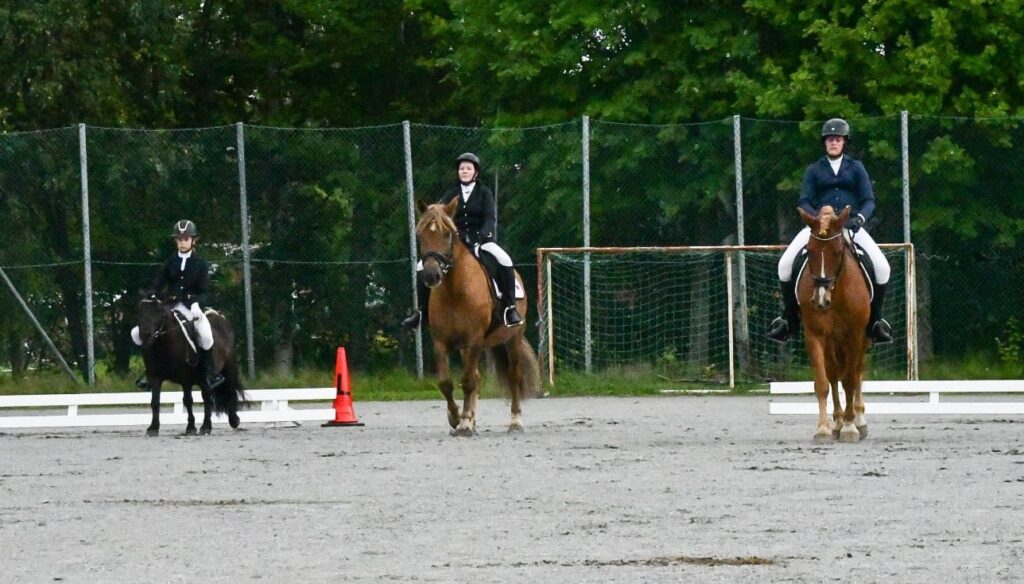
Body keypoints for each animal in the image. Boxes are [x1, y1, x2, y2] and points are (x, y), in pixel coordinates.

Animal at [135, 293, 244, 434]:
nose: (145, 336)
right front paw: (153, 428)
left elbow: (187, 400)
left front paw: (191, 427)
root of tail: (218, 315)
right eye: (140, 313)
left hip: (225, 369)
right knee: (209, 396)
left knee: (221, 393)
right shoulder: (155, 377)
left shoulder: (185, 378)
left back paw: (217, 424)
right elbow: (155, 402)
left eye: (159, 313)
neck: (164, 345)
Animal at [415, 198, 544, 432]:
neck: (454, 290)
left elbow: (467, 381)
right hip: (467, 347)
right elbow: (446, 383)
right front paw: (456, 418)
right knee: (475, 376)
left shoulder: (474, 339)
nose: (431, 275)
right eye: (421, 235)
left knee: (513, 375)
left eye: (447, 234)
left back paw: (515, 421)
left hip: (513, 337)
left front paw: (464, 422)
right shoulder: (441, 342)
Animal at [798, 204, 872, 440]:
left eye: (837, 252)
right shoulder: (814, 334)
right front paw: (823, 429)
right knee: (832, 375)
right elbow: (822, 383)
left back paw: (859, 420)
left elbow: (850, 380)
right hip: (832, 343)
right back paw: (838, 422)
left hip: (863, 340)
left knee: (857, 372)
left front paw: (850, 427)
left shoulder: (855, 336)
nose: (821, 300)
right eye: (809, 251)